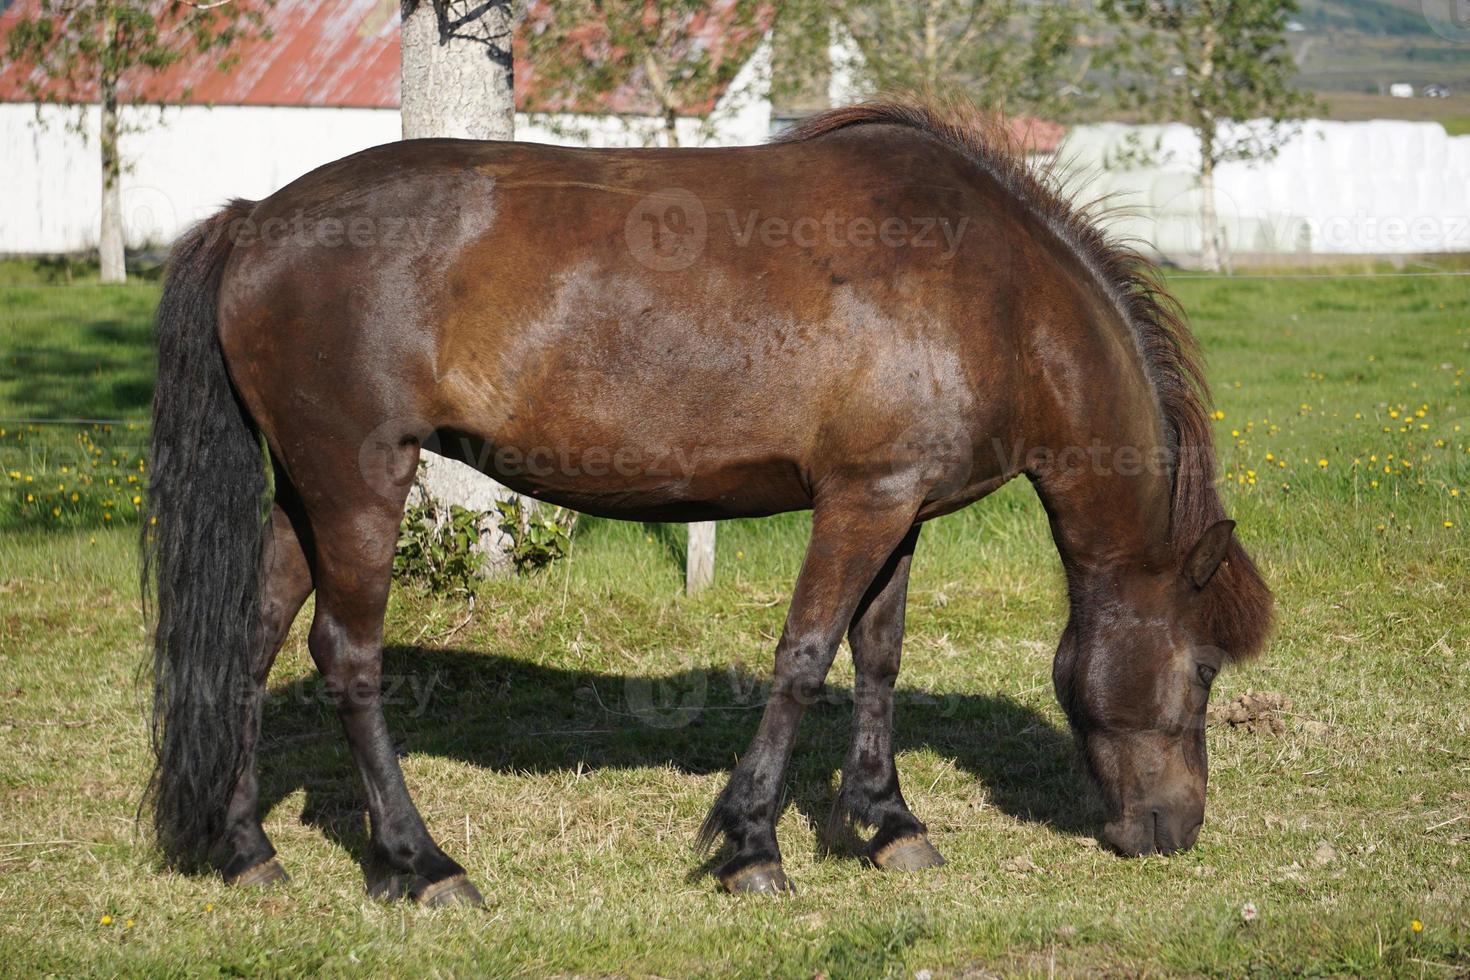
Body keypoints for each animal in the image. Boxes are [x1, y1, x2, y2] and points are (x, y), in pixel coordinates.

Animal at [146, 99, 1275, 905]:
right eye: (1205, 668)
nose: (1175, 830)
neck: (996, 291)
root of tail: (254, 222)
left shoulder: (901, 508)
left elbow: (878, 655)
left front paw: (888, 822)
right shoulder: (859, 503)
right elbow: (805, 658)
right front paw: (752, 846)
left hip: (307, 493)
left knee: (252, 642)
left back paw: (246, 850)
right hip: (359, 482)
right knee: (348, 658)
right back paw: (421, 863)